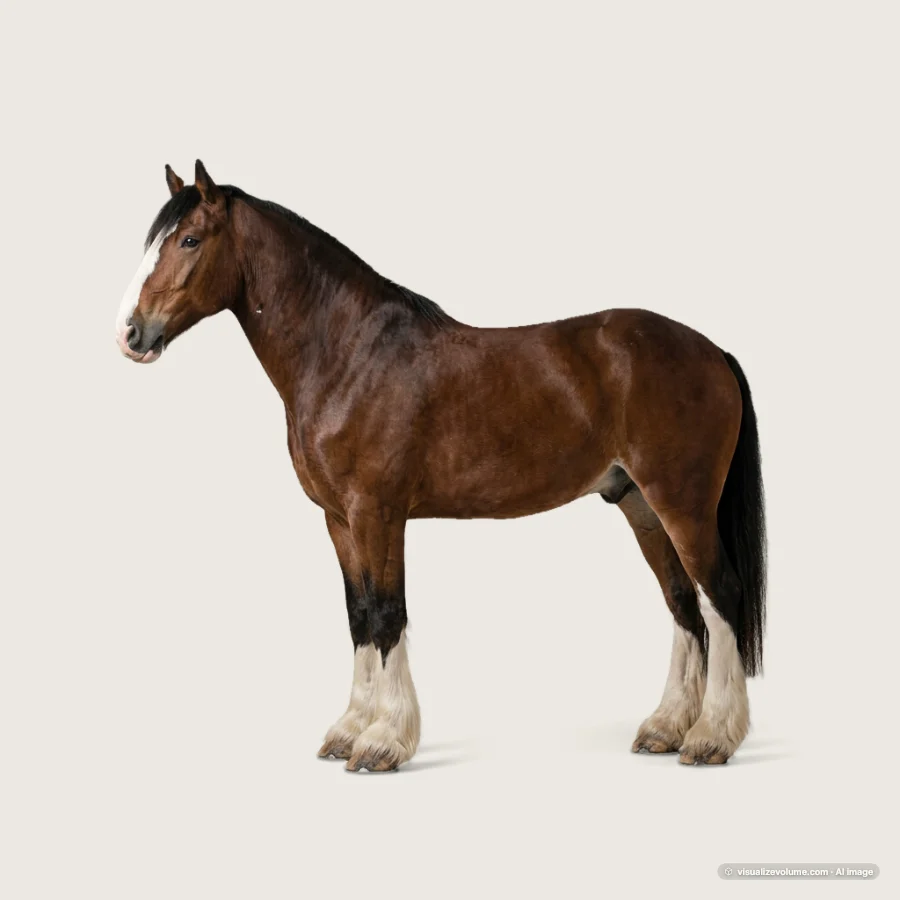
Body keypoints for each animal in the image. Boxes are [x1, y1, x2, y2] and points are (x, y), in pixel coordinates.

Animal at [115, 160, 766, 772]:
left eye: (190, 239)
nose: (131, 333)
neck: (349, 355)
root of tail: (711, 351)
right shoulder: (338, 519)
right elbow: (358, 615)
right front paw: (349, 730)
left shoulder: (378, 514)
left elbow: (387, 614)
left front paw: (382, 742)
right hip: (641, 507)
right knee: (684, 606)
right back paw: (666, 728)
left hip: (683, 506)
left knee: (720, 597)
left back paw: (711, 738)